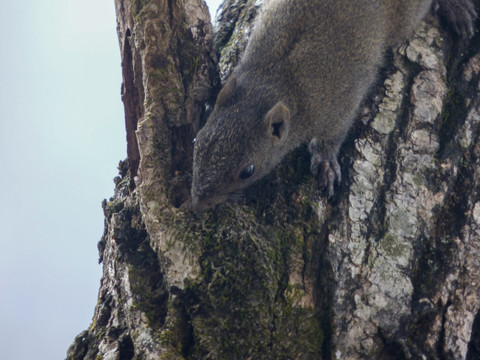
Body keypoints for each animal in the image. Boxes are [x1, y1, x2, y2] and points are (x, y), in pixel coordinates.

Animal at [191, 0, 476, 214]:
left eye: (247, 171)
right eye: (197, 142)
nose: (196, 206)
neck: (277, 83)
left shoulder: (338, 105)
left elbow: (334, 133)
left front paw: (326, 162)